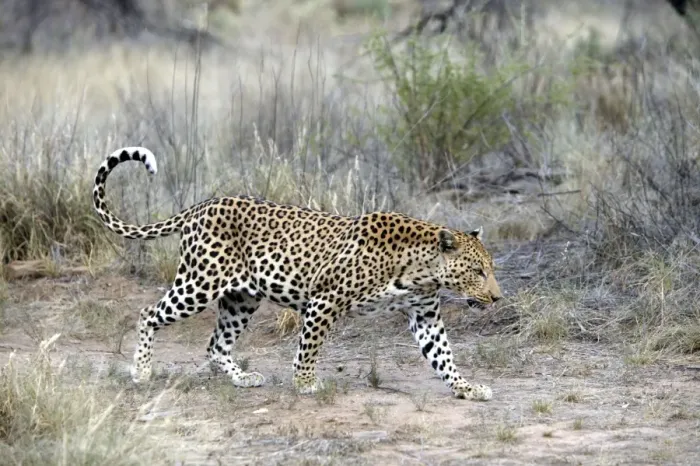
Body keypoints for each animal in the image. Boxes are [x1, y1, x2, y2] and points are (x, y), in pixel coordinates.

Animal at [92, 146, 503, 401]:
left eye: (490, 270)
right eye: (478, 271)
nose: (497, 297)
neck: (422, 269)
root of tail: (201, 205)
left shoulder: (426, 315)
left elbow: (444, 357)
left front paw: (468, 388)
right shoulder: (325, 300)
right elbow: (309, 346)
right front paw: (305, 384)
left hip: (241, 298)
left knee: (216, 344)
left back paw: (242, 379)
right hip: (199, 283)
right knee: (148, 313)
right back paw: (141, 371)